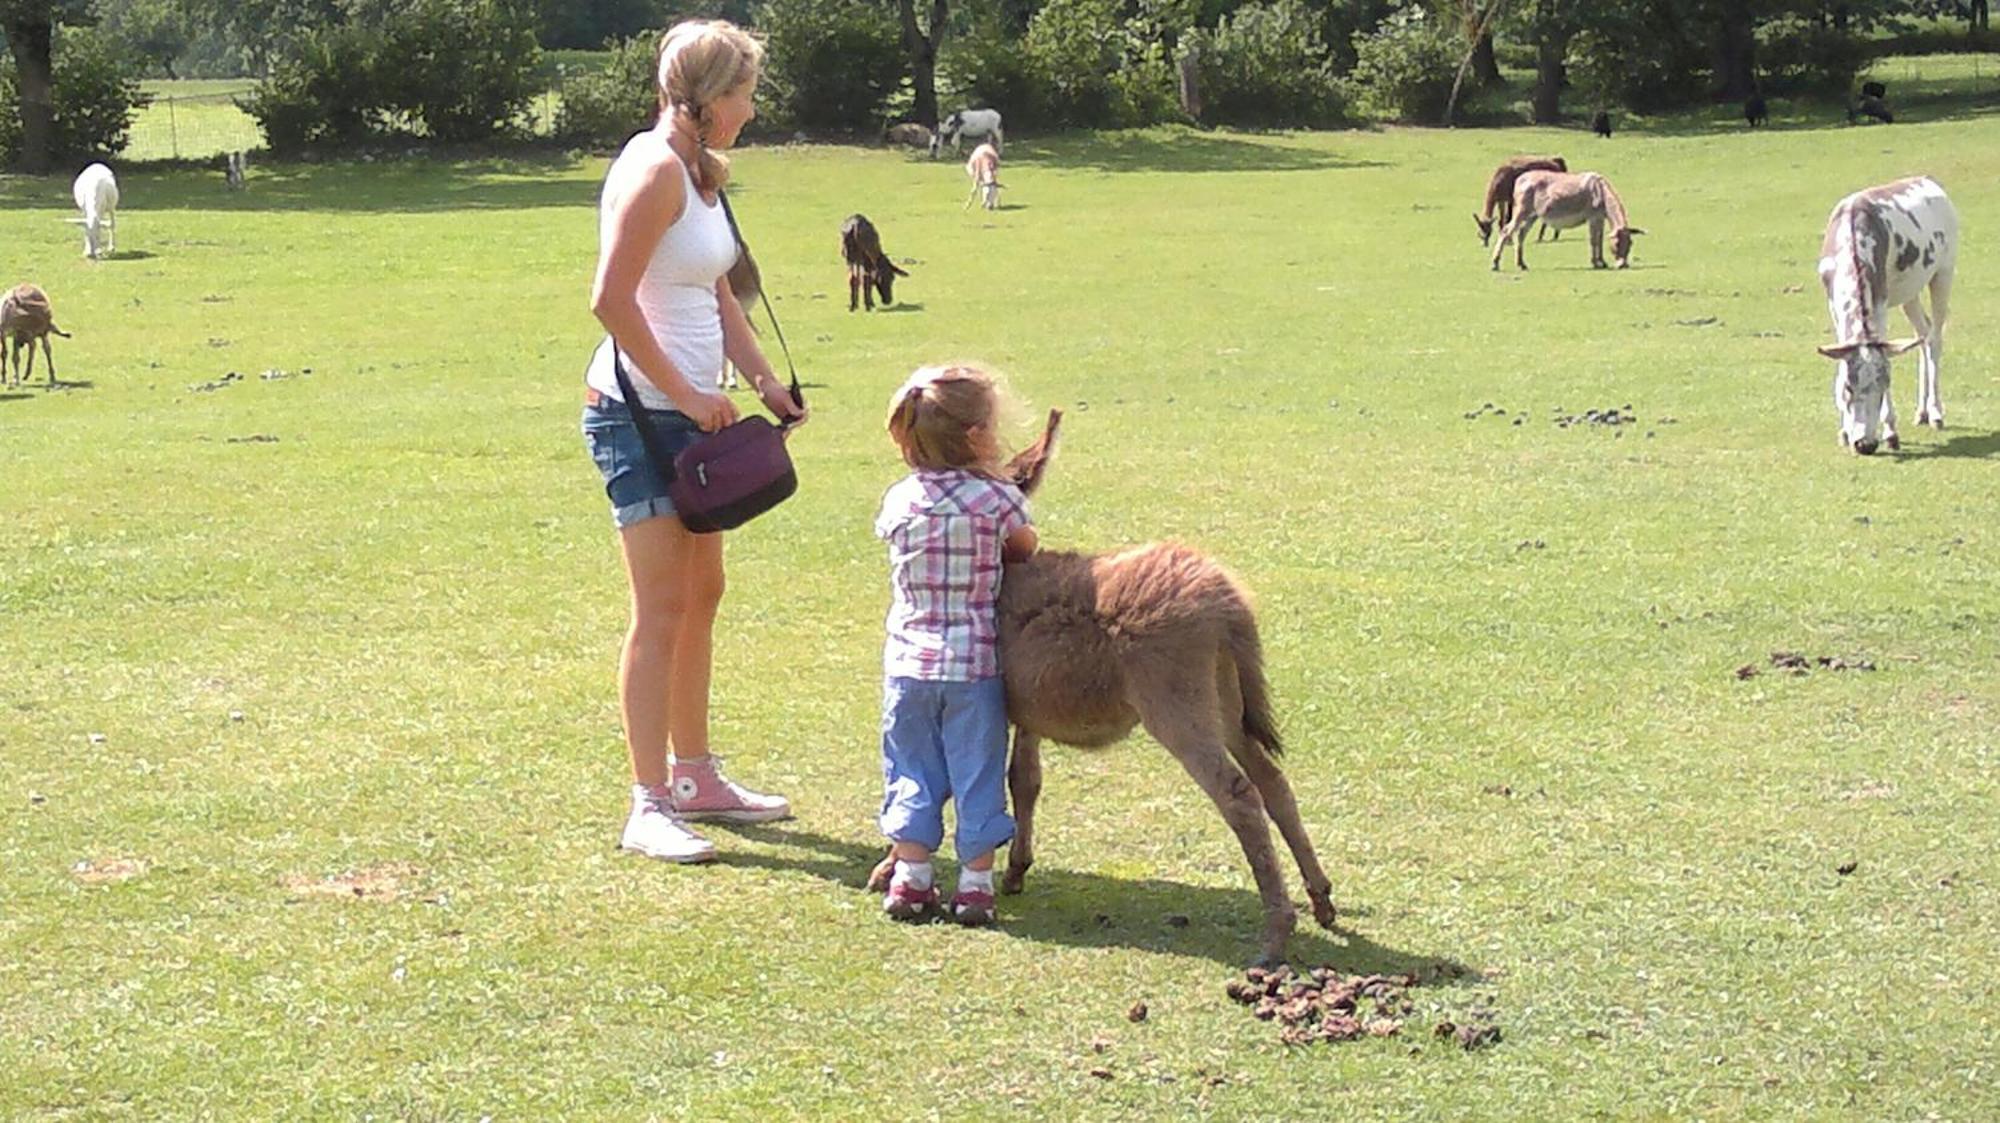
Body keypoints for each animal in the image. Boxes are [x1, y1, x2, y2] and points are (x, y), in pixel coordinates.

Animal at [868, 411, 1336, 963]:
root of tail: (1229, 603)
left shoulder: (969, 703)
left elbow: (934, 785)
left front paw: (890, 868)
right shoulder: (1023, 710)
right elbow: (1023, 780)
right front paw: (1015, 869)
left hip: (1178, 710)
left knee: (1239, 795)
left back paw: (1276, 934)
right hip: (1224, 705)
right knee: (1273, 782)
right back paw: (1321, 900)